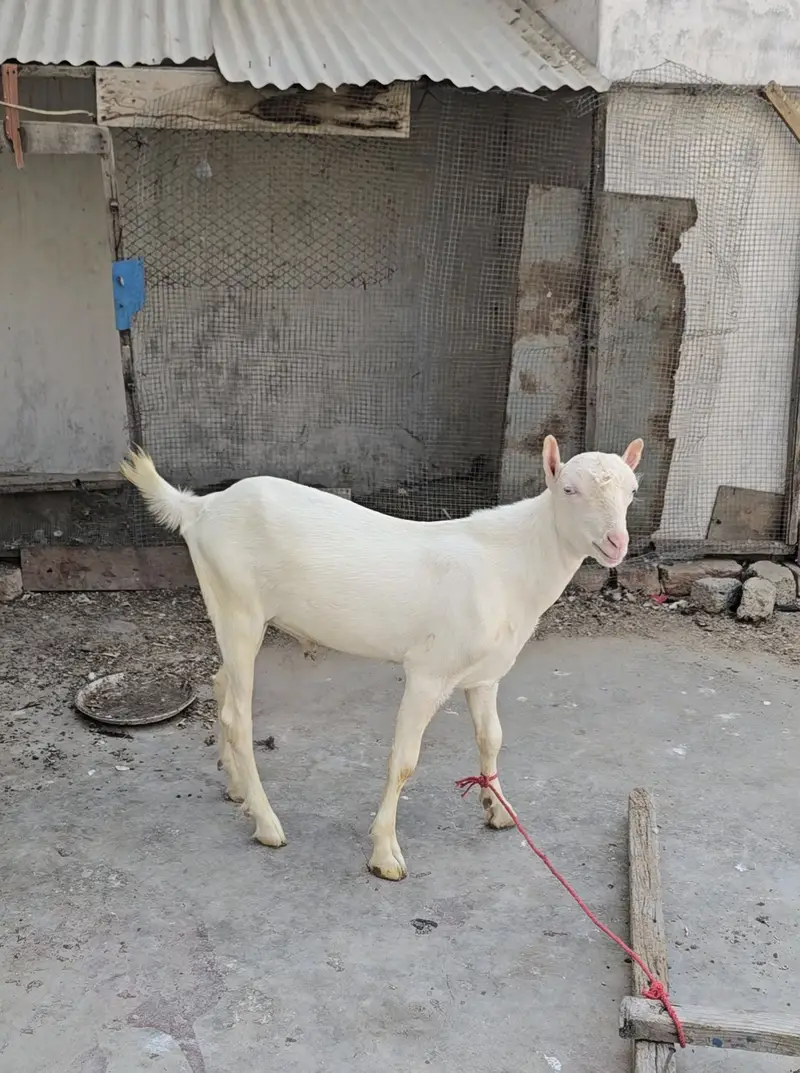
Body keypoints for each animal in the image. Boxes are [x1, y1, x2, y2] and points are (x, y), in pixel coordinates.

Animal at [121, 434, 643, 881]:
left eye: (633, 492)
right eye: (569, 489)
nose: (617, 544)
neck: (511, 563)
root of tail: (200, 507)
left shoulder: (485, 674)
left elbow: (491, 738)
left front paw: (498, 810)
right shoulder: (429, 671)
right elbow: (405, 760)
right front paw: (385, 854)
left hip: (233, 615)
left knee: (220, 682)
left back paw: (236, 789)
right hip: (238, 607)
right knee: (237, 714)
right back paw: (267, 823)